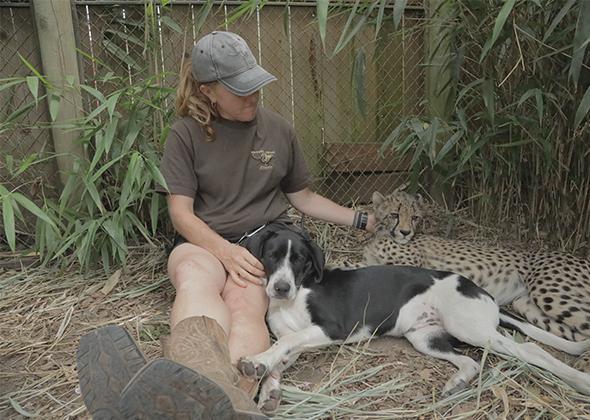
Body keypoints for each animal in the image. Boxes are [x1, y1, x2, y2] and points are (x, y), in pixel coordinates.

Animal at [237, 224, 590, 410]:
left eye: (299, 260)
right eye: (271, 256)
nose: (280, 288)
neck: (297, 295)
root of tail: (484, 294)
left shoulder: (331, 328)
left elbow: (285, 343)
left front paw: (257, 361)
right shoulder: (295, 340)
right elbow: (282, 353)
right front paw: (268, 385)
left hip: (471, 328)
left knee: (528, 349)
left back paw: (579, 380)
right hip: (425, 337)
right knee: (470, 361)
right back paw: (457, 382)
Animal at [362, 185, 590, 345]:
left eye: (415, 217)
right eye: (394, 214)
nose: (405, 232)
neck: (383, 234)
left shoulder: (407, 267)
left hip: (550, 293)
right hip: (525, 304)